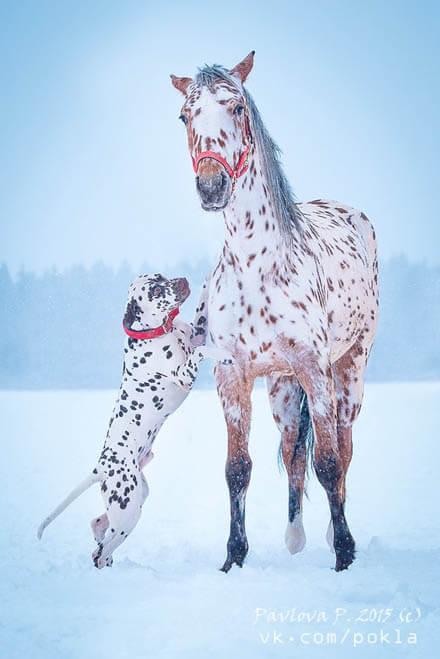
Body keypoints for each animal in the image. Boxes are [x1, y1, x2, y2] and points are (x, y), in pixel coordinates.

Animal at [37, 274, 230, 568]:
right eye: (157, 290)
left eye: (161, 276)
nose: (182, 279)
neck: (160, 332)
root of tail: (100, 467)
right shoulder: (184, 374)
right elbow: (203, 352)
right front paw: (224, 354)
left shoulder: (195, 334)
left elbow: (200, 314)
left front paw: (208, 281)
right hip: (128, 508)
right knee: (101, 551)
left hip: (136, 498)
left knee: (97, 526)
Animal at [171, 52, 378, 572]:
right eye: (184, 115)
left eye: (237, 106)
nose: (212, 185)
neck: (258, 267)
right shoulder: (233, 375)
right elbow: (238, 468)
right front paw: (233, 557)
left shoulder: (315, 368)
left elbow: (329, 461)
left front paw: (344, 554)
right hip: (282, 388)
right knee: (292, 450)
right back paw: (295, 536)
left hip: (350, 370)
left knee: (342, 448)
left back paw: (332, 534)